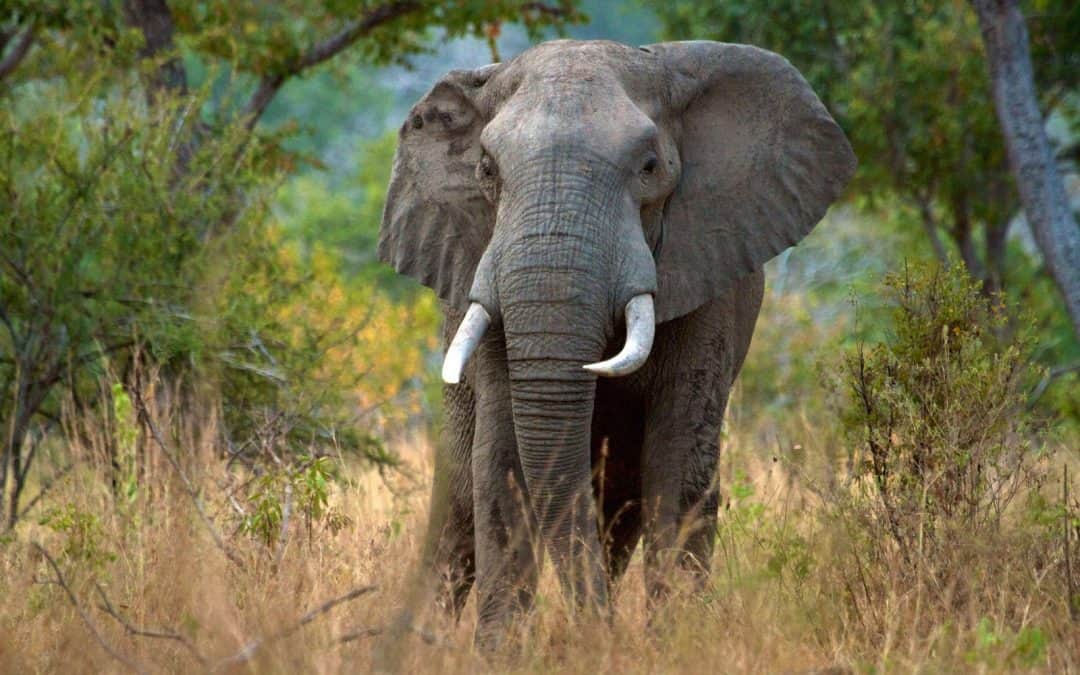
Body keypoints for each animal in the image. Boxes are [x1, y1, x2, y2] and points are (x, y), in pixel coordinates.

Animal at [375, 38, 855, 648]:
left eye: (650, 168)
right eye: (486, 169)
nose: (594, 631)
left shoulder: (708, 273)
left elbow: (679, 464)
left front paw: (673, 643)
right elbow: (500, 462)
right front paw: (506, 653)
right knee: (459, 507)